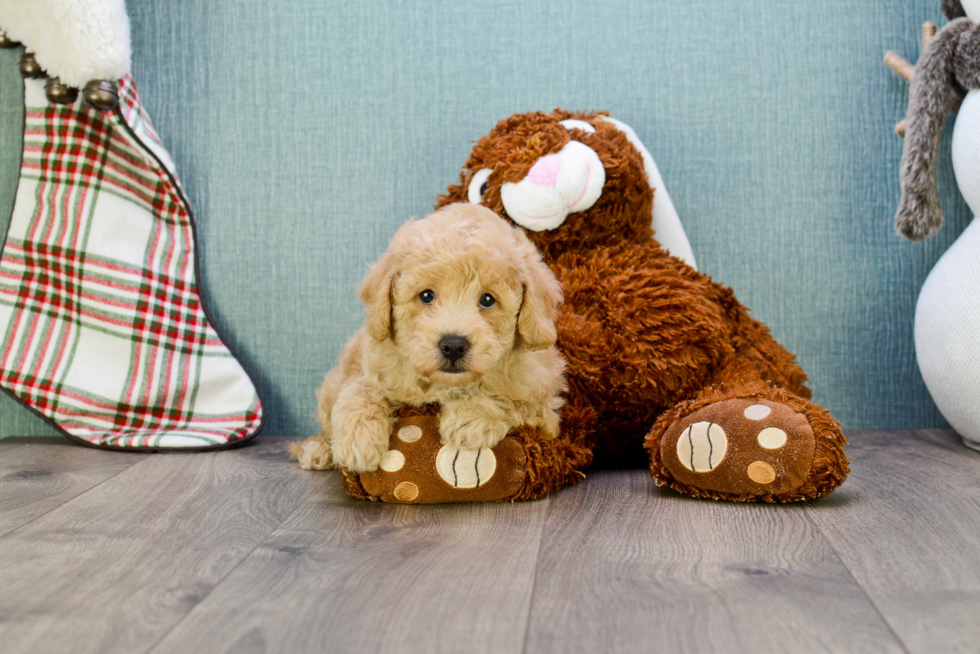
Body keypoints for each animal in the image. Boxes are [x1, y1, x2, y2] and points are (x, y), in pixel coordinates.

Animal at [290, 204, 568, 472]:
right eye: (426, 296)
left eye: (488, 300)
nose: (453, 345)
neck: (445, 385)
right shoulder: (370, 370)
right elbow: (359, 394)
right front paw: (357, 442)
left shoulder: (546, 411)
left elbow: (510, 400)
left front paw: (470, 419)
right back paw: (317, 450)